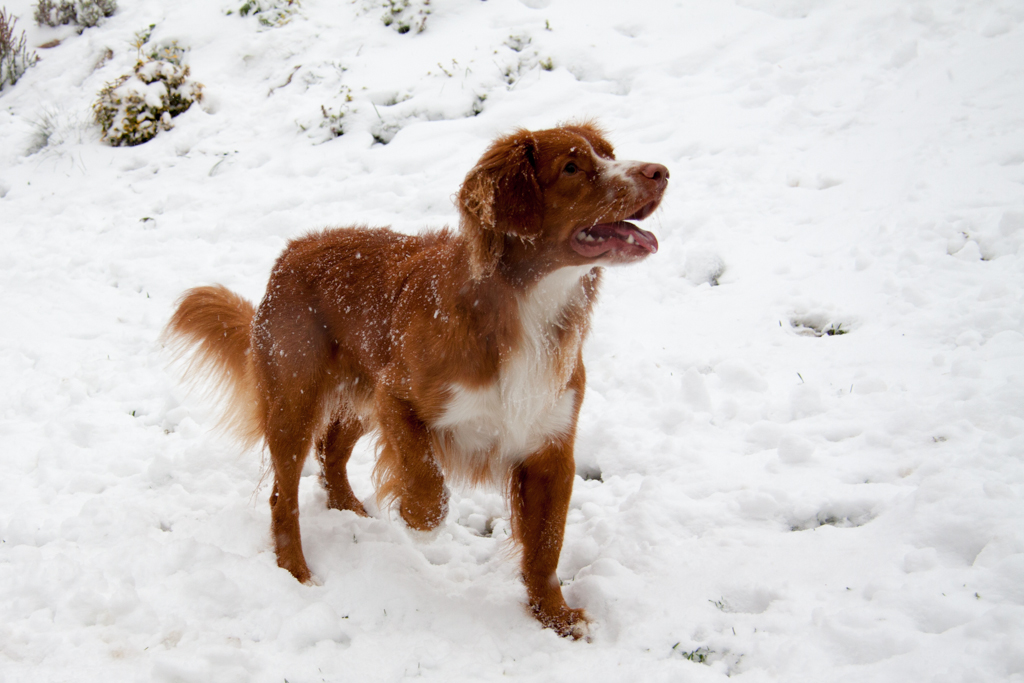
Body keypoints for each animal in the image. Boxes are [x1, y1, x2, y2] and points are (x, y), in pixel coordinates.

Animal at [163, 121, 667, 634]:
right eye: (571, 167)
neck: (525, 308)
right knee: (283, 495)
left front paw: (556, 617)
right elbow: (426, 481)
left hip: (359, 397)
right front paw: (413, 516)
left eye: (610, 154)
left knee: (331, 449)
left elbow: (548, 544)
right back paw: (295, 570)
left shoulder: (550, 446)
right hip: (295, 401)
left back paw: (348, 507)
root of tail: (292, 250)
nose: (659, 172)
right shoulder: (399, 397)